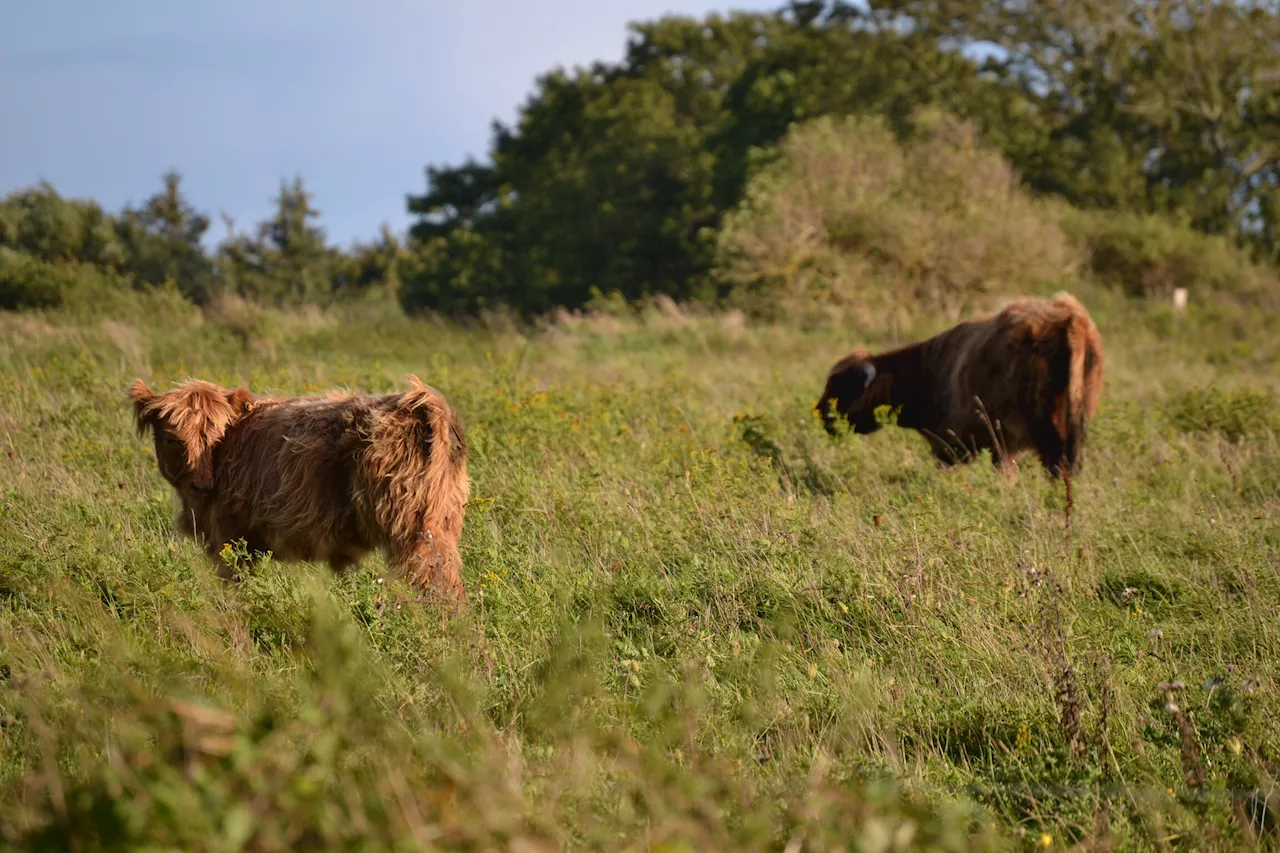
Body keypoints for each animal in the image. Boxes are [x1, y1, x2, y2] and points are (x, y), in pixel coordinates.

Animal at [132, 376, 473, 601]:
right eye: (172, 438)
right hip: (443, 520)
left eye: (214, 436)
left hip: (413, 529)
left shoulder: (229, 537)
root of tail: (421, 405)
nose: (201, 485)